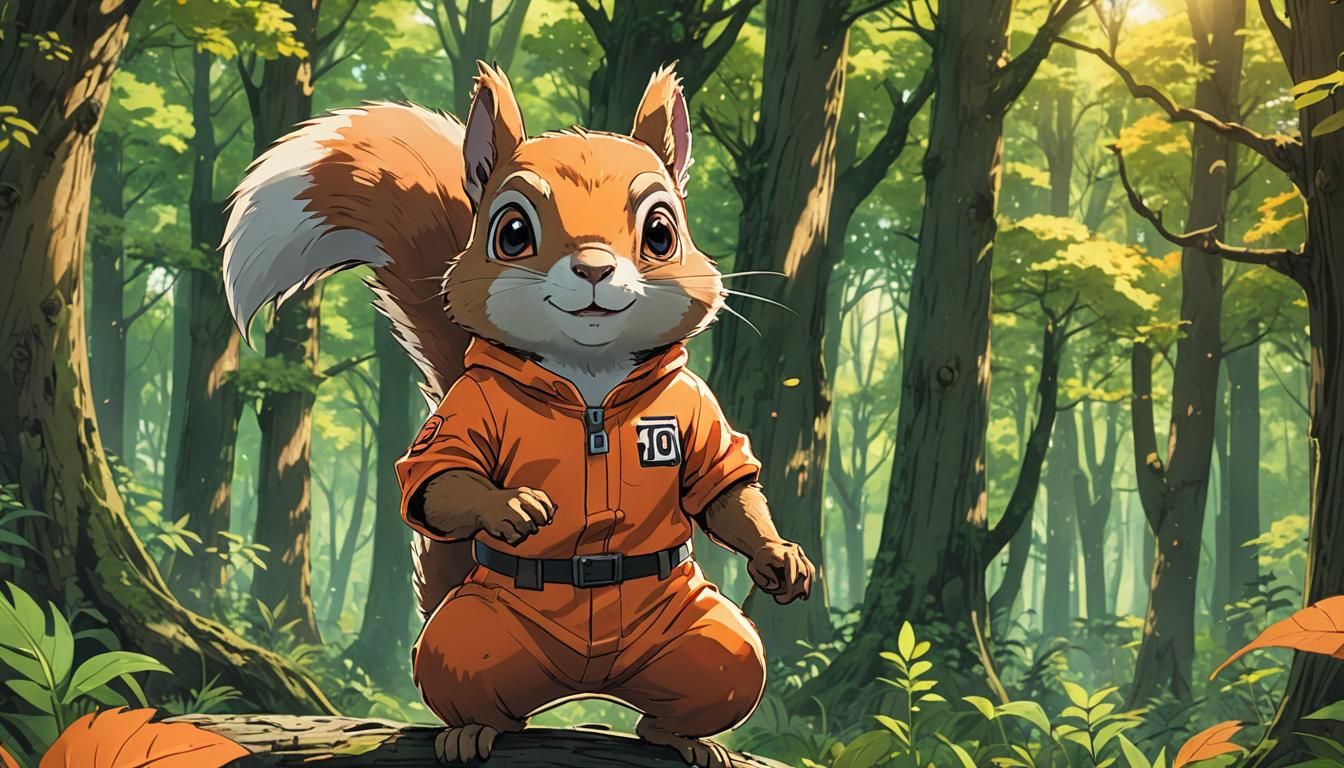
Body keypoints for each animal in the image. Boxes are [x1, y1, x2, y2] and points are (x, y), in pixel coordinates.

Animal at [220, 62, 816, 767]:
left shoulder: (697, 406)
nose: (593, 267)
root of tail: (585, 683)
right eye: (511, 232)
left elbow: (725, 492)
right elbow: (445, 477)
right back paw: (471, 730)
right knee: (465, 669)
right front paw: (512, 507)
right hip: (477, 636)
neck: (589, 379)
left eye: (661, 234)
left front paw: (780, 558)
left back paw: (681, 735)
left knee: (726, 664)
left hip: (694, 638)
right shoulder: (470, 406)